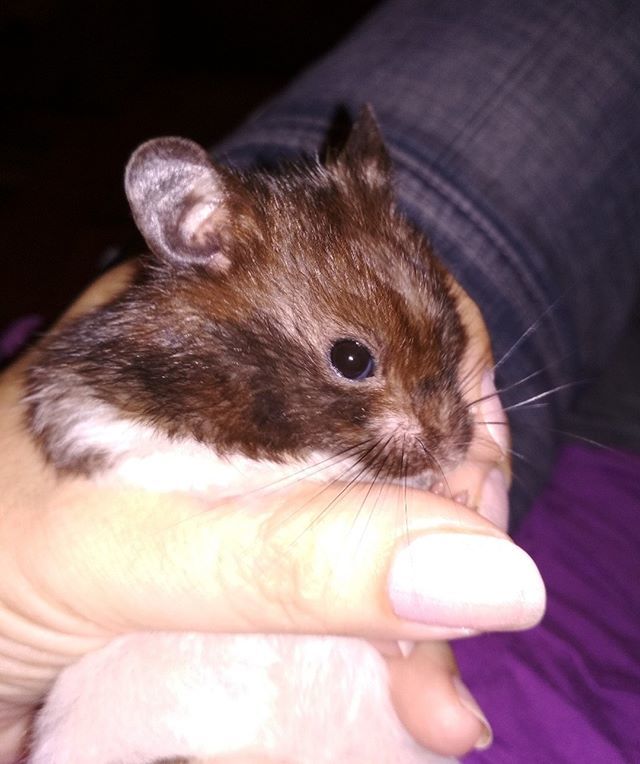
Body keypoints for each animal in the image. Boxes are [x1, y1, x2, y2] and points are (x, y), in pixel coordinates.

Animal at [24, 106, 473, 763]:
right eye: (351, 359)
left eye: (451, 329)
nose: (456, 450)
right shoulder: (85, 417)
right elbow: (222, 472)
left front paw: (455, 493)